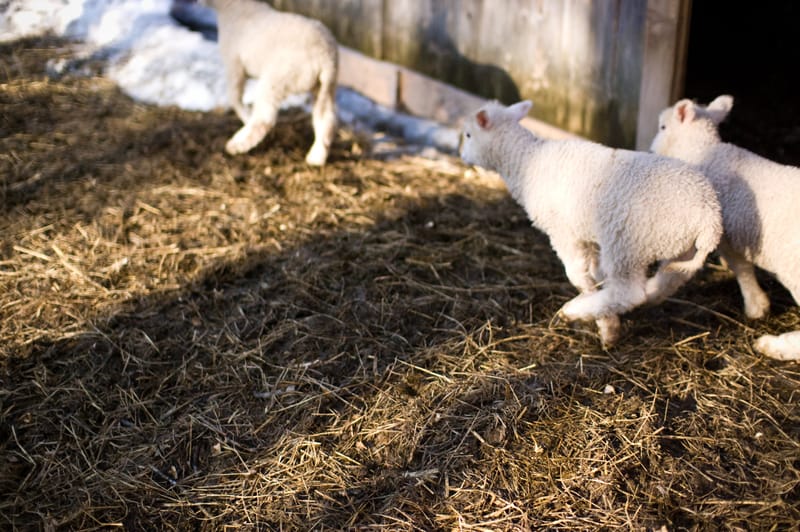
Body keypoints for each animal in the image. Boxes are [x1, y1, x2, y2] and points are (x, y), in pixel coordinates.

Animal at [198, 0, 338, 165]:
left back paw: (237, 144)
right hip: (325, 87)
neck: (235, 6)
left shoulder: (234, 64)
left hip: (277, 79)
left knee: (264, 118)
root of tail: (324, 58)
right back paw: (316, 158)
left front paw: (246, 116)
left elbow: (234, 97)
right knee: (325, 119)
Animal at [460, 100, 723, 347]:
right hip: (679, 250)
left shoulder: (563, 232)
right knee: (663, 284)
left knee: (627, 293)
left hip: (627, 243)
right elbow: (595, 272)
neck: (526, 162)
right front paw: (603, 309)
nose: (462, 156)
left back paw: (575, 313)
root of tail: (709, 216)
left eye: (469, 135)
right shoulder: (588, 233)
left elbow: (576, 273)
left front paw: (604, 321)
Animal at [651, 95, 800, 361]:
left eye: (663, 127)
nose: (650, 149)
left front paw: (756, 306)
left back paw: (774, 346)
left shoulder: (725, 235)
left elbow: (741, 268)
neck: (702, 151)